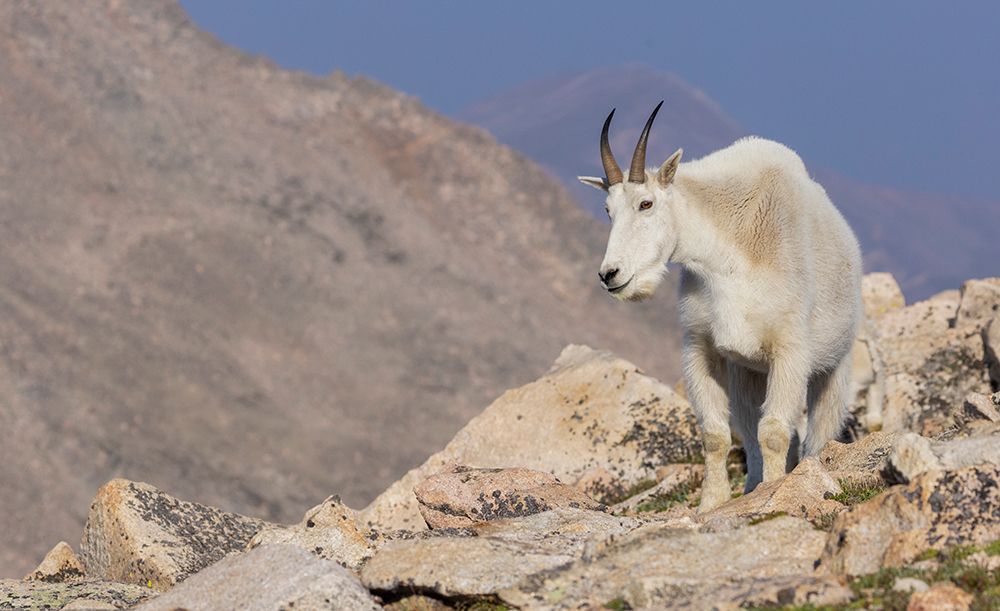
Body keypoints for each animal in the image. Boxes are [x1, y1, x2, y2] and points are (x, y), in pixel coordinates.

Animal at [580, 102, 862, 511]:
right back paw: (751, 487)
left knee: (816, 433)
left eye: (646, 203)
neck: (728, 252)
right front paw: (712, 504)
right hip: (748, 372)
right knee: (749, 428)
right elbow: (715, 434)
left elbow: (775, 431)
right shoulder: (701, 347)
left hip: (835, 365)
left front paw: (774, 496)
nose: (610, 274)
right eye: (607, 210)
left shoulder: (790, 350)